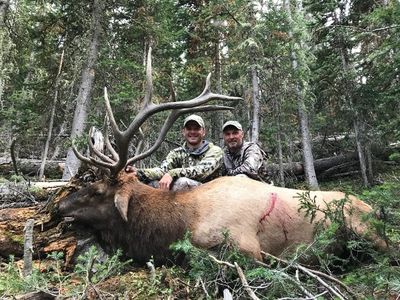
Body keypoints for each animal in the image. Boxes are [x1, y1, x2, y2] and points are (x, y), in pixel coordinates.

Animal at [55, 46, 384, 262]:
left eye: (97, 190)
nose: (58, 206)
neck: (177, 225)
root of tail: (374, 208)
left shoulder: (248, 249)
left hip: (370, 234)